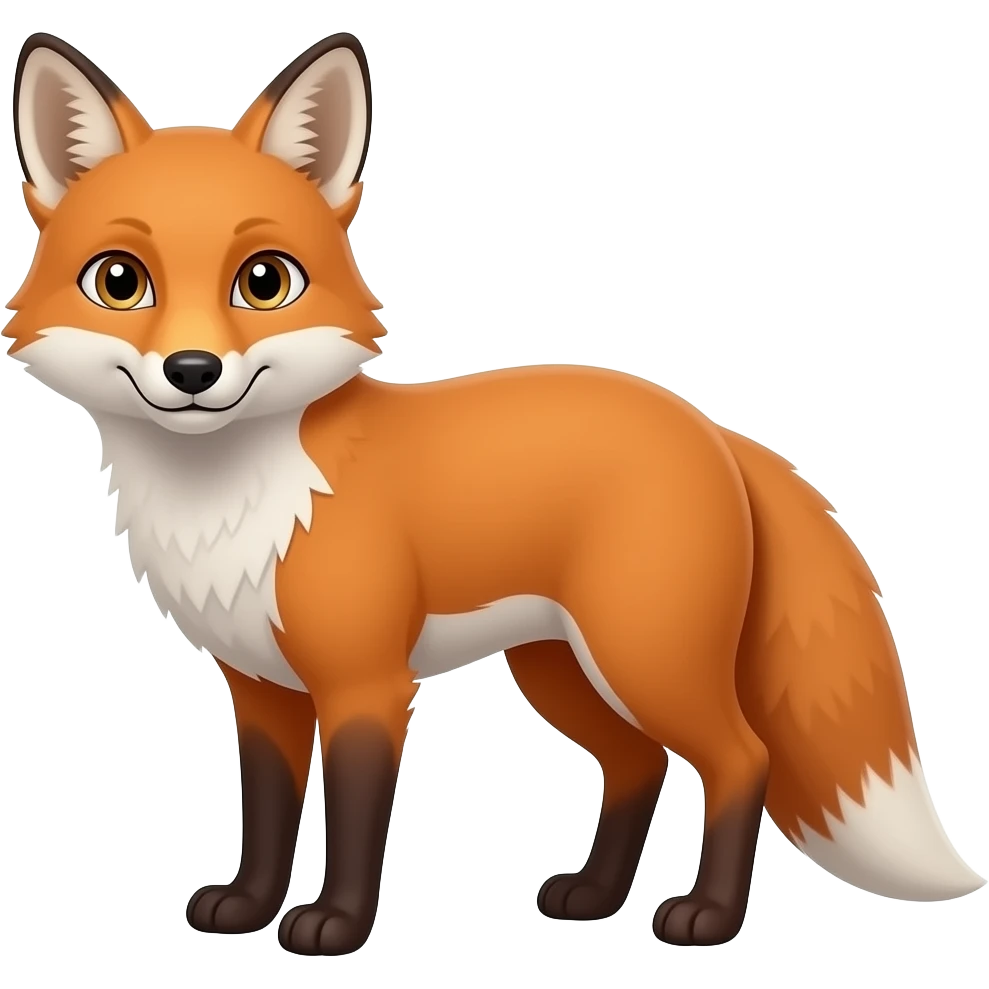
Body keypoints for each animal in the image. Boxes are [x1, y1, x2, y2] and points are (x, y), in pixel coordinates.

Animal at [5, 30, 985, 957]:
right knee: (637, 764)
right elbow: (269, 812)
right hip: (561, 668)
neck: (234, 503)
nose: (193, 371)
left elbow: (354, 818)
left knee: (742, 757)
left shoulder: (367, 684)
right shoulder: (260, 687)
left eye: (265, 281)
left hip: (643, 656)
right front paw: (247, 908)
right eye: (120, 281)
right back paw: (592, 897)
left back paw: (705, 916)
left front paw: (336, 925)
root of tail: (706, 425)